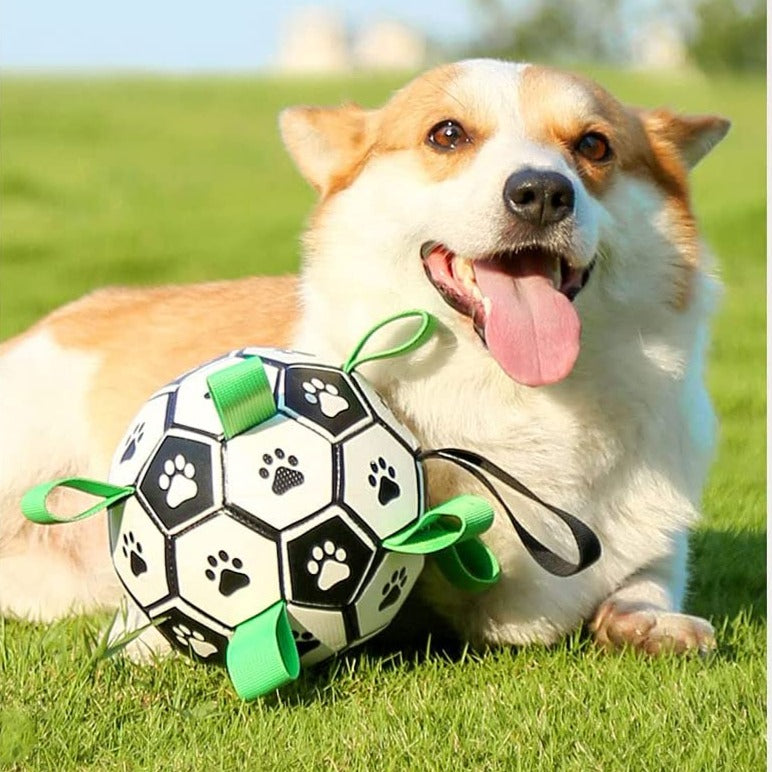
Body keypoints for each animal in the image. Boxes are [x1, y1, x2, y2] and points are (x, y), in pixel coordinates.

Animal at [0, 60, 728, 656]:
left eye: (593, 145)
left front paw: (648, 620)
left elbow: (647, 578)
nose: (543, 193)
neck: (515, 398)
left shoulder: (650, 540)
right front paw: (151, 634)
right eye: (447, 135)